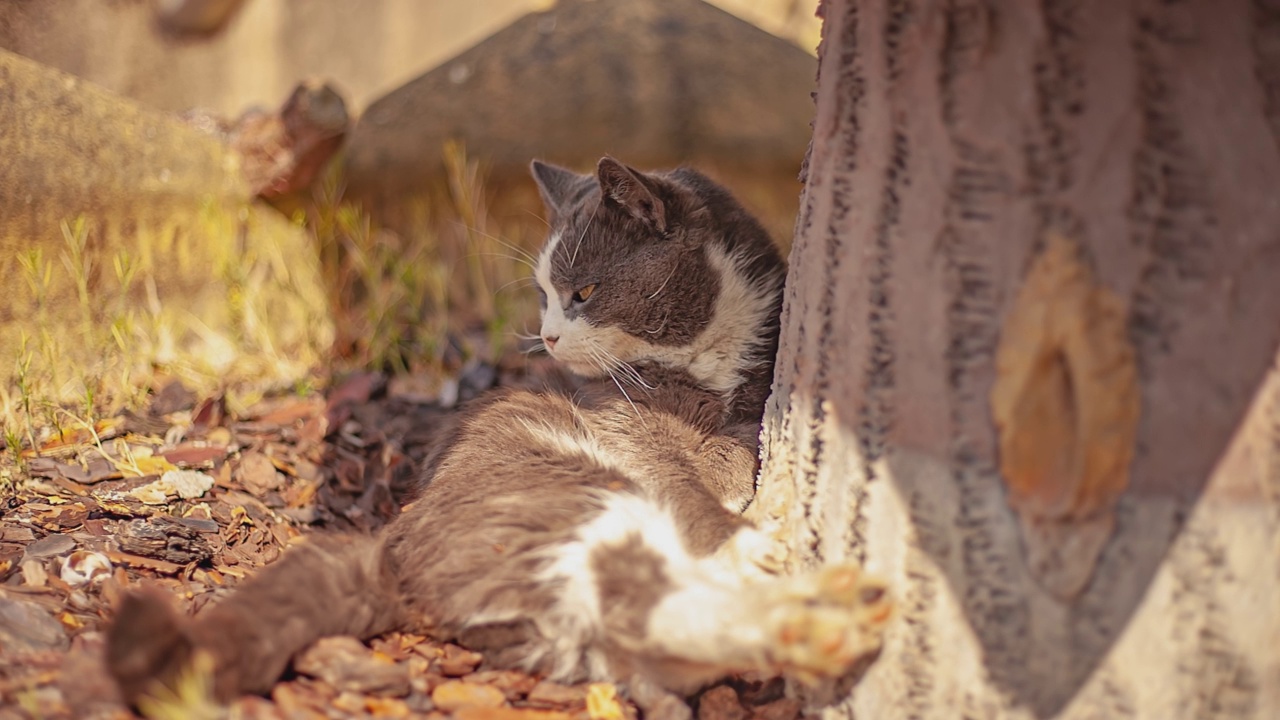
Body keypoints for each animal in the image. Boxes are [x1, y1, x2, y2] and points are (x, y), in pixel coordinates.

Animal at [104, 154, 890, 712]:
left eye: (584, 292)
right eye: (544, 295)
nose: (548, 337)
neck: (701, 361)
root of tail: (388, 547)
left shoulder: (754, 383)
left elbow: (740, 440)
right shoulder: (619, 422)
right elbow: (677, 471)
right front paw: (741, 522)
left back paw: (819, 623)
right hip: (563, 491)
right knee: (640, 594)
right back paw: (810, 613)